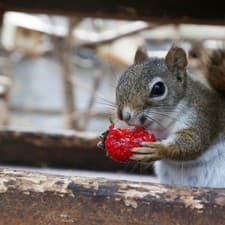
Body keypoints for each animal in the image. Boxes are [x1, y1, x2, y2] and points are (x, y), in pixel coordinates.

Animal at [113, 46, 225, 188]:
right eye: (121, 81)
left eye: (158, 88)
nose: (123, 116)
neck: (163, 123)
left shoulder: (202, 117)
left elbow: (194, 141)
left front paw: (159, 149)